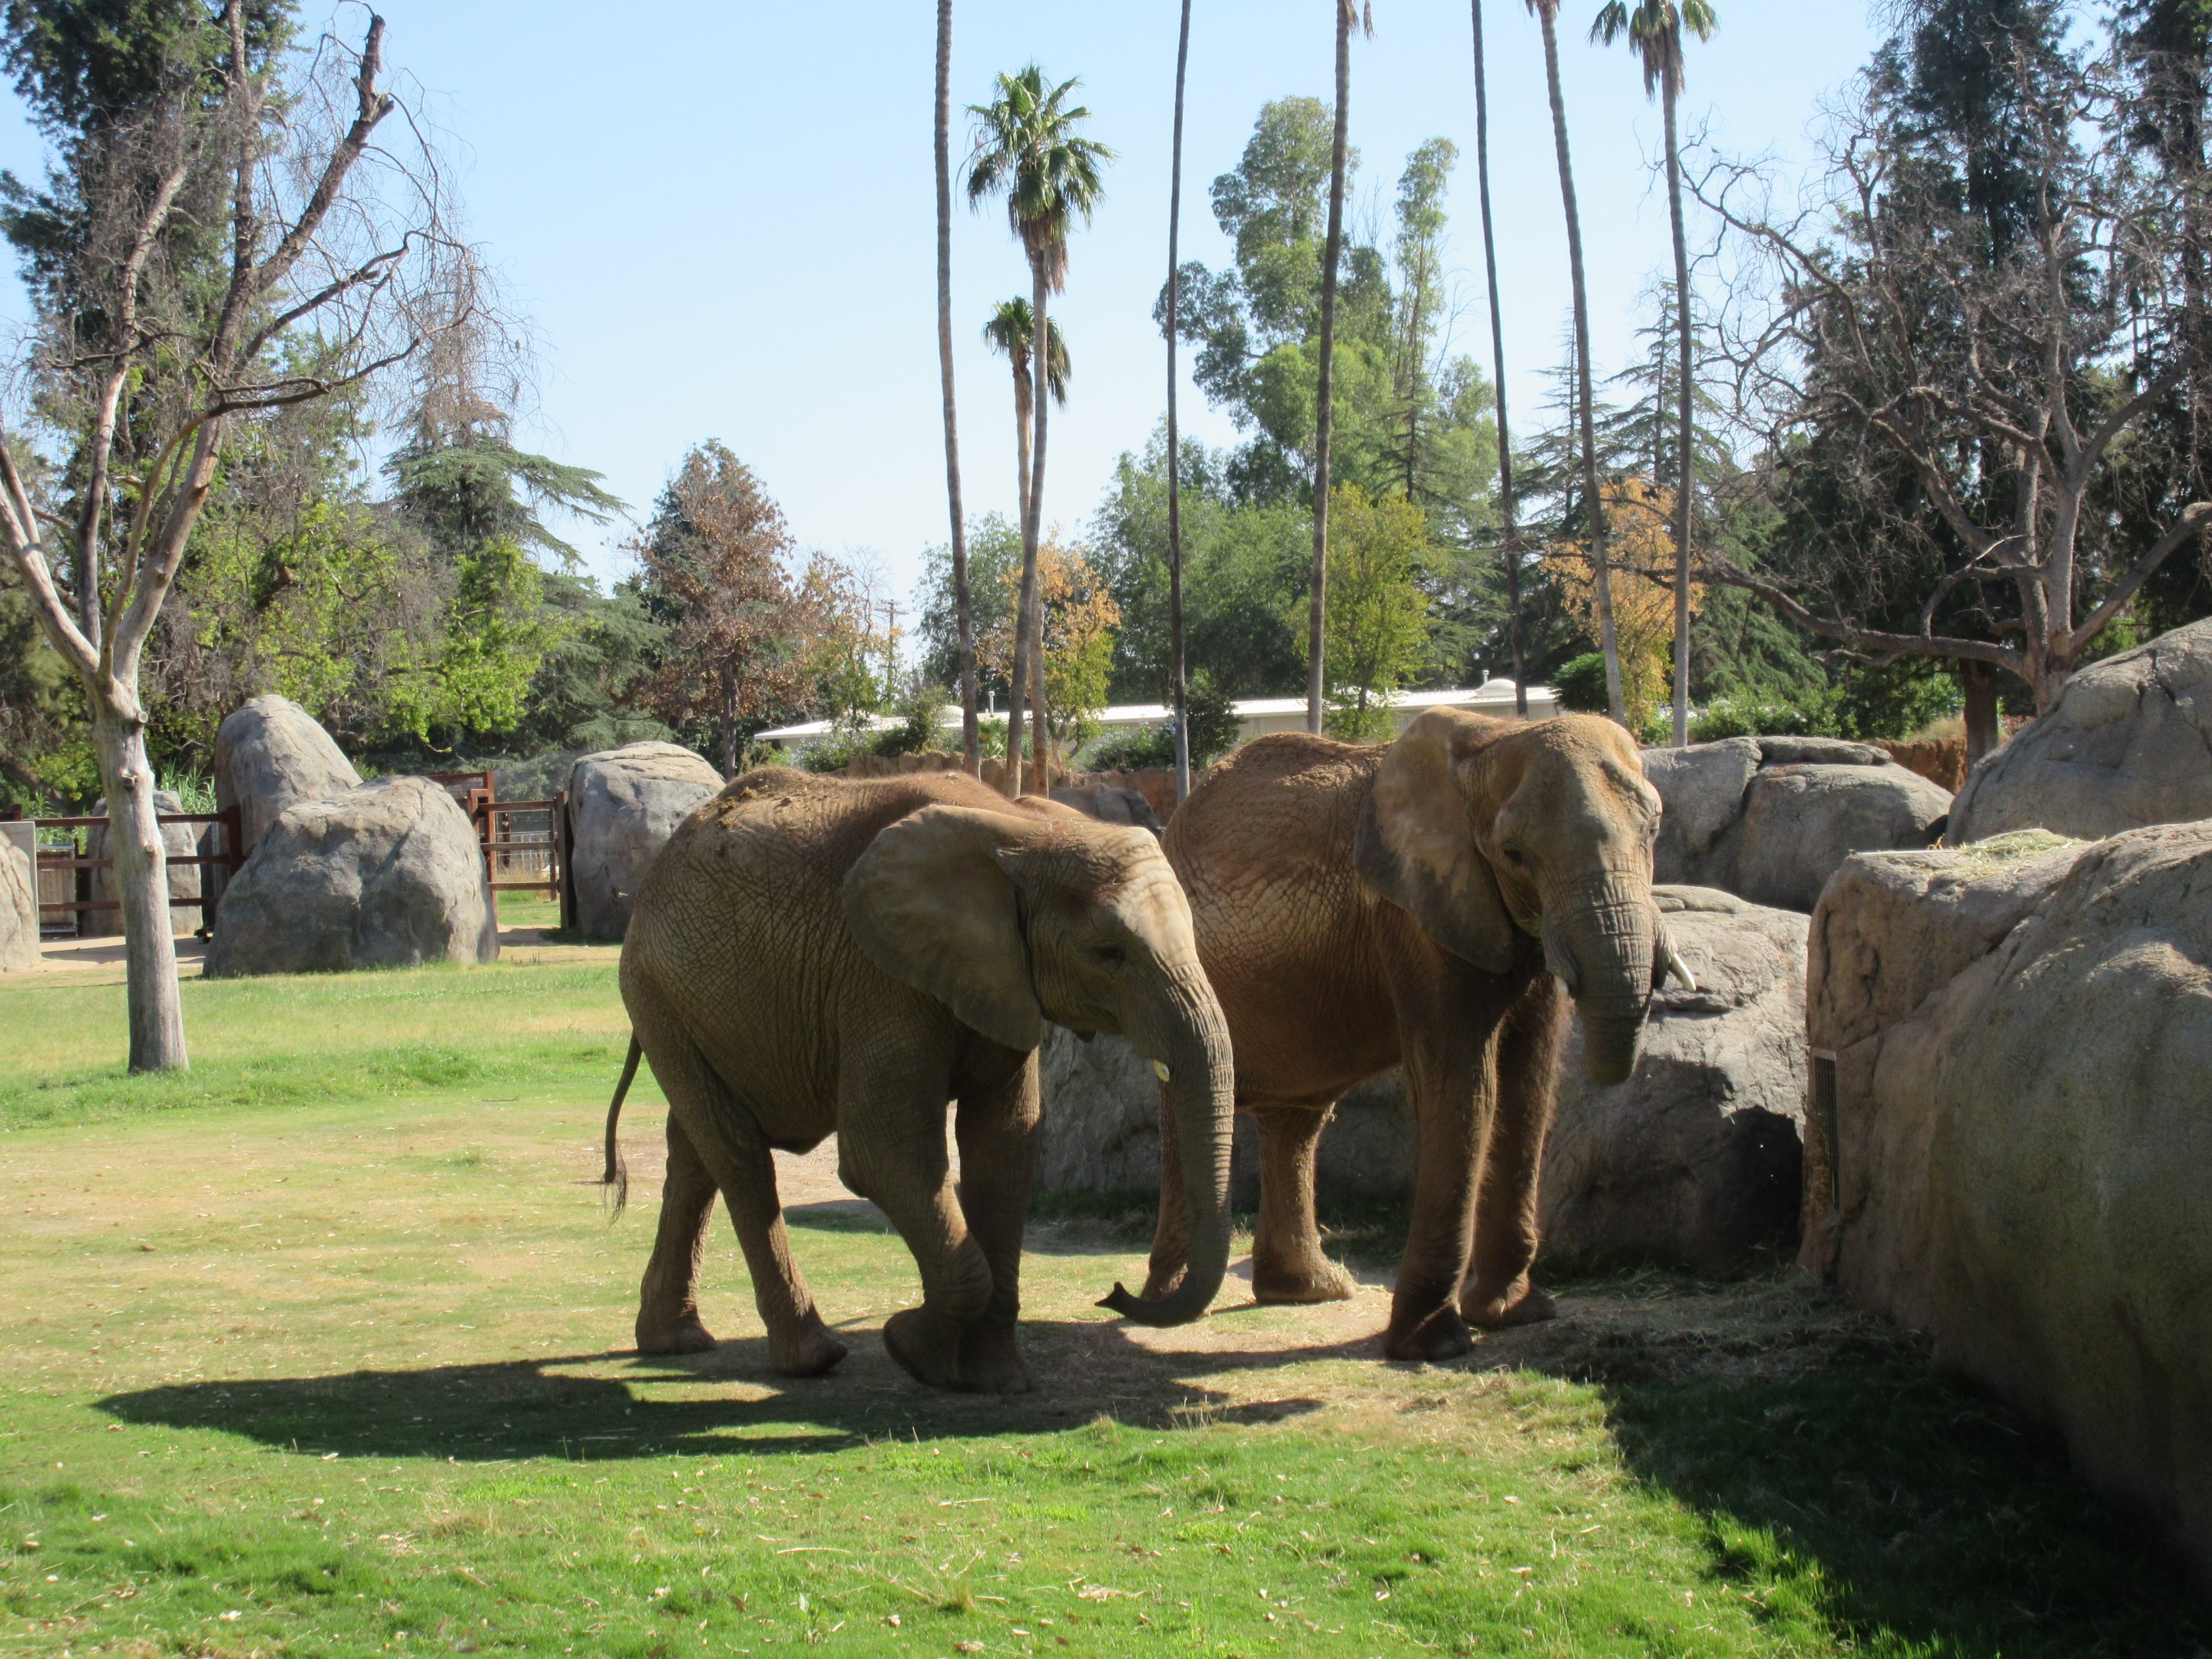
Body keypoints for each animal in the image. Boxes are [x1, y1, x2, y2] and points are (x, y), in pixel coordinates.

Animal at [599, 766, 1236, 1394]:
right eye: (1108, 953)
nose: (1114, 1293)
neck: (1025, 829)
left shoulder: (1002, 977)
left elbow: (1005, 1146)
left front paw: (995, 1379)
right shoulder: (879, 975)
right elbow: (883, 1152)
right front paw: (911, 1349)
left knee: (695, 1153)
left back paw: (674, 1342)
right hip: (654, 989)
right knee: (737, 1154)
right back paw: (813, 1358)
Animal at [1122, 709, 1686, 1363]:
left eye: (1654, 830)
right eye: (1515, 854)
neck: (1495, 736)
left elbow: (1530, 1082)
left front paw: (1516, 1315)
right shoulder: (1413, 915)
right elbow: (1465, 1083)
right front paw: (1433, 1345)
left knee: (1298, 1119)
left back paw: (1308, 1291)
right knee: (1189, 1109)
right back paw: (1174, 1301)